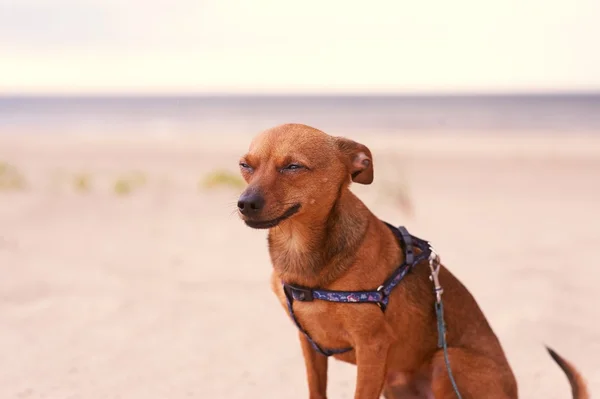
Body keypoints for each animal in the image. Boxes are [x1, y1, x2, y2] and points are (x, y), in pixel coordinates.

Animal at [237, 123, 588, 398]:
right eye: (245, 165)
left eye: (293, 167)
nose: (245, 204)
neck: (301, 249)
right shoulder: (310, 344)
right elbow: (316, 390)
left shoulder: (372, 347)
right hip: (396, 383)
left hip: (448, 363)